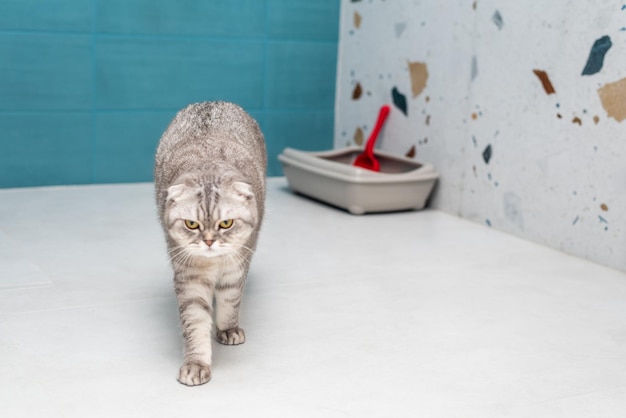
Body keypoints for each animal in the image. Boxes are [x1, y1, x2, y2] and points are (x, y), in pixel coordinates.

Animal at [155, 101, 266, 386]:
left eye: (225, 223)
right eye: (191, 224)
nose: (208, 241)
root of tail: (212, 102)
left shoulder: (236, 268)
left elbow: (229, 301)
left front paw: (228, 329)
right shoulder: (189, 278)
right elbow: (195, 324)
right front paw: (196, 364)